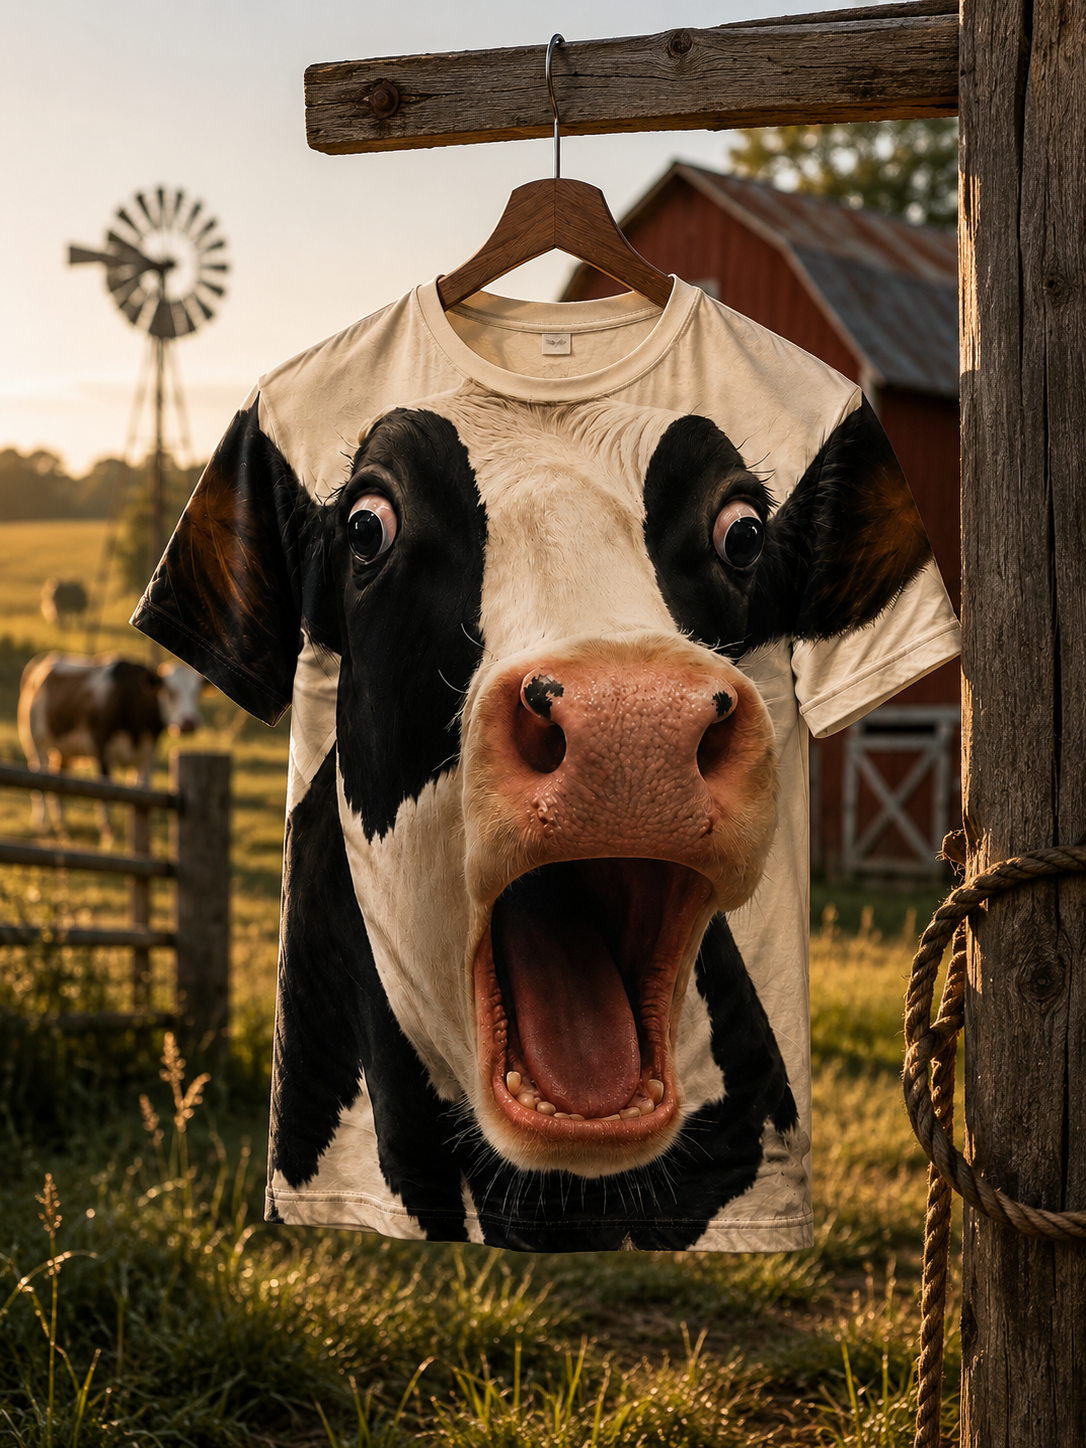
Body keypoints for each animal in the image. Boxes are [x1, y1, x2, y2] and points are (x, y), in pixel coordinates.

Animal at [18, 654, 204, 845]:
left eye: (197, 693)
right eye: (170, 692)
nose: (189, 723)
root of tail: (43, 660)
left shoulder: (146, 756)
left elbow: (141, 794)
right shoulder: (102, 748)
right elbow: (106, 790)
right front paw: (108, 833)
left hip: (65, 751)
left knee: (59, 779)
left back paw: (62, 826)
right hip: (35, 741)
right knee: (40, 776)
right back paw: (42, 823)